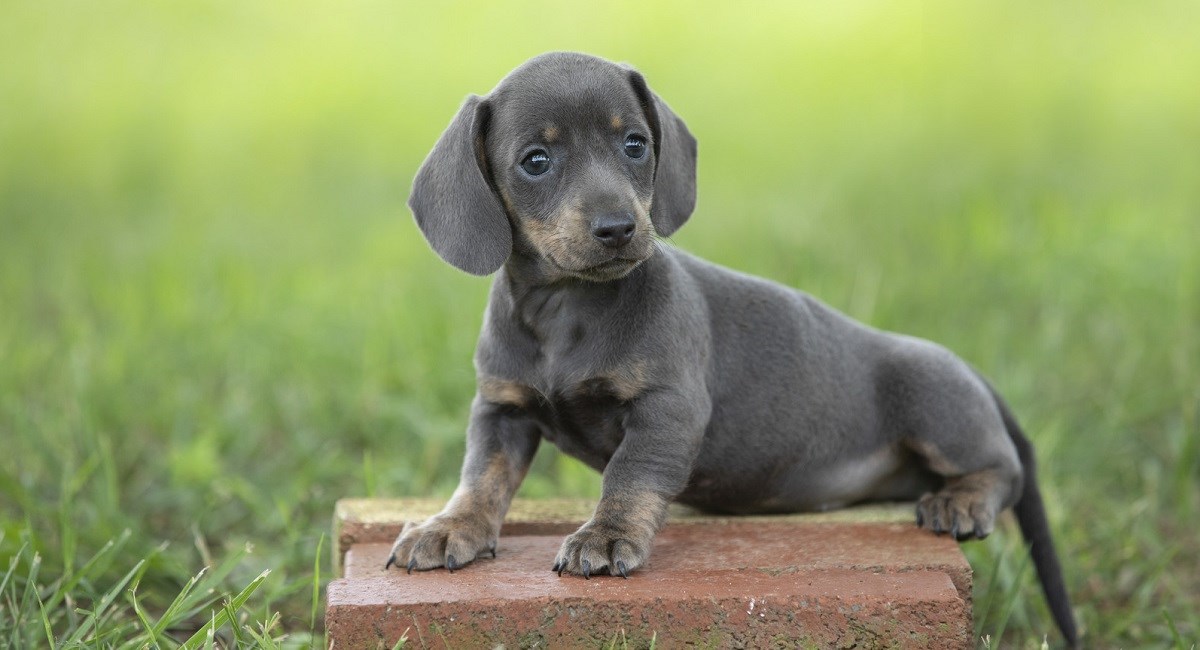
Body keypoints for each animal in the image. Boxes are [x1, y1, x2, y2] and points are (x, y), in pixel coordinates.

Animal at [386, 52, 1080, 650]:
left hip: (936, 403)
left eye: (634, 144)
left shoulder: (667, 407)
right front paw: (450, 527)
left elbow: (630, 475)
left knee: (1004, 470)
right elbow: (483, 476)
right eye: (535, 160)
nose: (619, 229)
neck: (567, 310)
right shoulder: (501, 409)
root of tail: (974, 376)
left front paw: (606, 536)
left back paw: (962, 499)